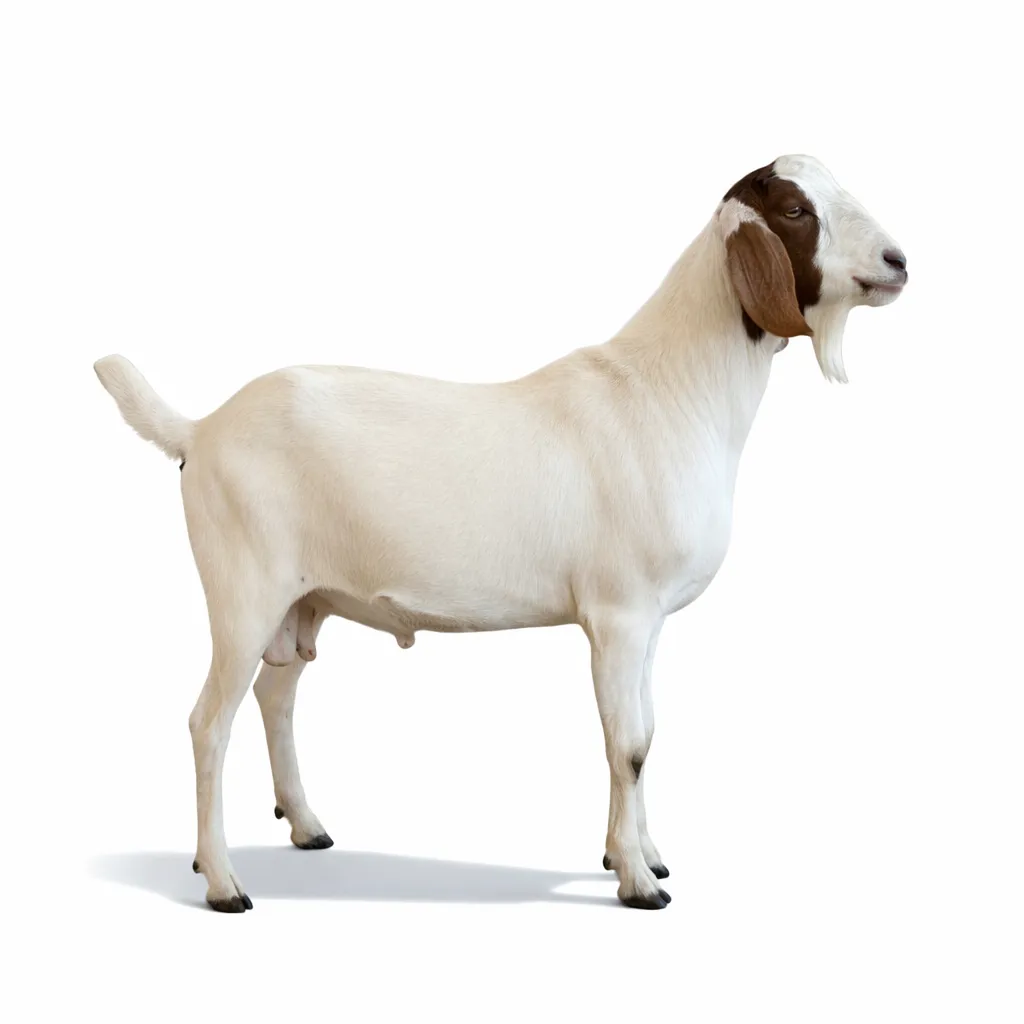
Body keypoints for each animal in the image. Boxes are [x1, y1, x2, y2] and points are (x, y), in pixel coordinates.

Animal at [95, 155, 906, 913]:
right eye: (797, 209)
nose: (898, 260)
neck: (670, 390)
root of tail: (199, 430)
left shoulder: (650, 622)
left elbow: (647, 737)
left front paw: (644, 854)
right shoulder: (617, 615)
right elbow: (626, 746)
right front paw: (638, 882)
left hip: (302, 599)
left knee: (276, 695)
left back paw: (305, 826)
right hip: (243, 590)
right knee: (208, 722)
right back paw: (223, 881)